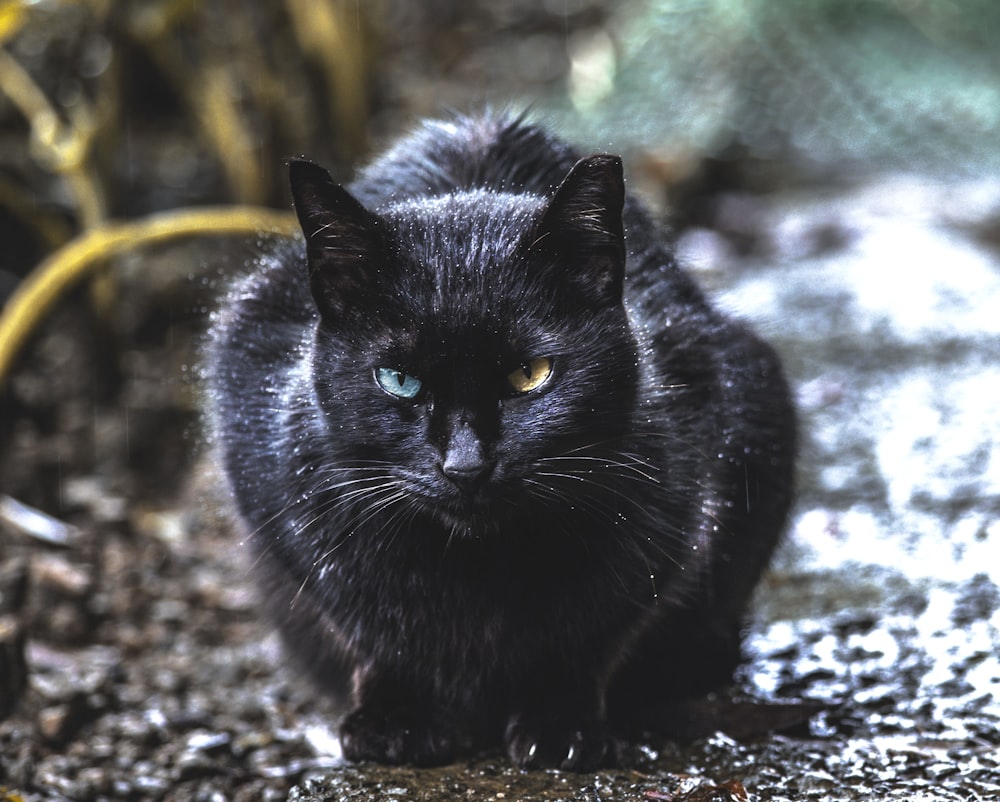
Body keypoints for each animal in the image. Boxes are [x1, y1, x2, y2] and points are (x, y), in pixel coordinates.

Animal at [205, 112, 796, 768]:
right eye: (399, 380)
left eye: (530, 375)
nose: (466, 466)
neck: (477, 565)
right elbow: (371, 633)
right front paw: (397, 717)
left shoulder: (678, 498)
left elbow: (592, 634)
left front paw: (561, 723)